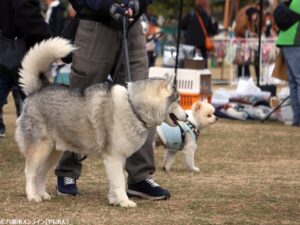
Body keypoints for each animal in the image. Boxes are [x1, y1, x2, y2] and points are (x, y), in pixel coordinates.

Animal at [15, 37, 188, 207]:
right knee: (30, 173)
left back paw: (42, 194)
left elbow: (114, 182)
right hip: (40, 149)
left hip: (53, 151)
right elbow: (119, 182)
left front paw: (114, 199)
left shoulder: (118, 158)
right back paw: (33, 196)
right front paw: (124, 201)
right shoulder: (114, 157)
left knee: (41, 173)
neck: (133, 105)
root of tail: (38, 89)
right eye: (178, 100)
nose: (186, 115)